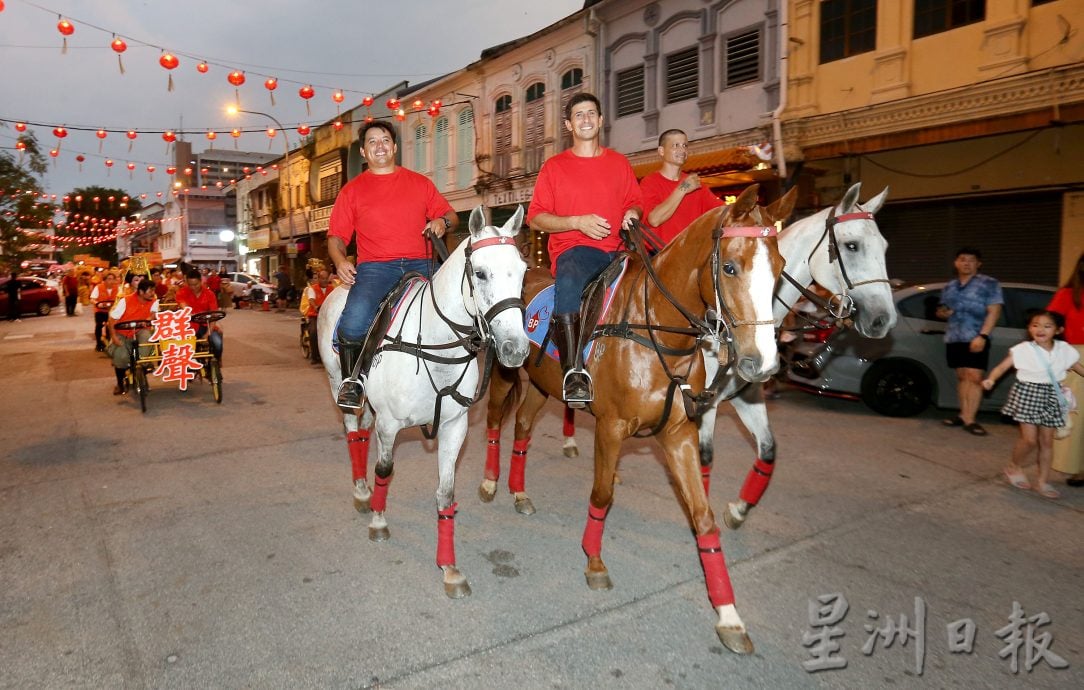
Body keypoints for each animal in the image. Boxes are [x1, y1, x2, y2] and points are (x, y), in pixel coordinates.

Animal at [316, 204, 528, 597]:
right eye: (480, 273)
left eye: (523, 271)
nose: (515, 348)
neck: (435, 344)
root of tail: (337, 289)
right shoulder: (390, 424)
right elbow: (384, 470)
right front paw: (379, 521)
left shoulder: (455, 427)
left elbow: (445, 494)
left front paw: (450, 568)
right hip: (340, 382)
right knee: (352, 430)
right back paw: (361, 491)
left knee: (361, 432)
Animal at [485, 184, 797, 649]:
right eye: (729, 267)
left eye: (779, 267)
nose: (763, 363)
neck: (656, 333)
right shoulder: (611, 429)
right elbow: (601, 495)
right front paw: (594, 562)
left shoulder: (679, 434)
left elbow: (703, 516)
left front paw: (728, 614)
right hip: (505, 376)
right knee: (493, 421)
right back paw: (489, 483)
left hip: (541, 386)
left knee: (522, 425)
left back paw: (519, 492)